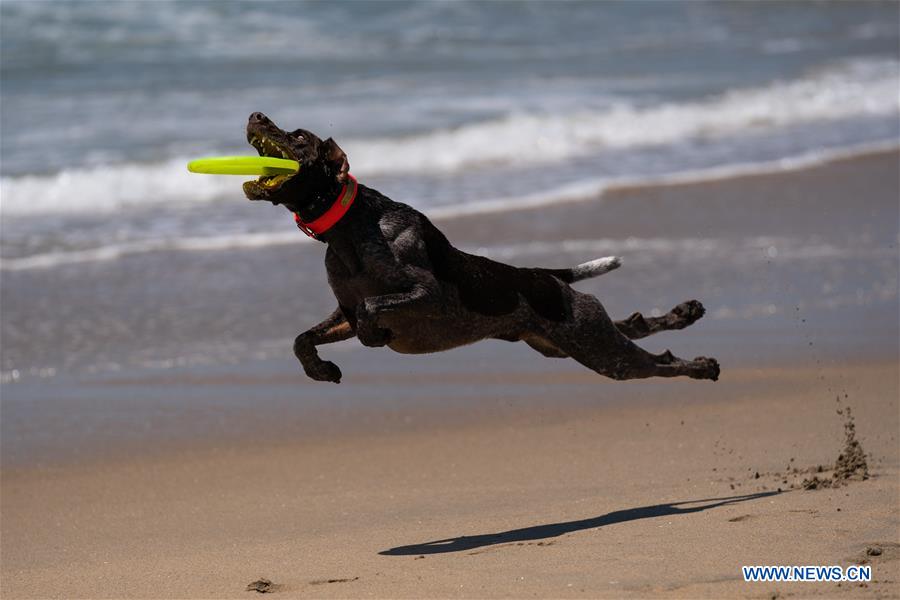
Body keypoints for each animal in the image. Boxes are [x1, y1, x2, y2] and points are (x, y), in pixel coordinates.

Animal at [243, 112, 720, 384]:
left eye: (298, 137)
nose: (254, 114)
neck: (346, 232)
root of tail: (543, 276)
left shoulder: (426, 294)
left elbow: (371, 308)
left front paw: (373, 335)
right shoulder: (340, 312)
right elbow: (303, 339)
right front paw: (320, 369)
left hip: (605, 356)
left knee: (659, 362)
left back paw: (701, 366)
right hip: (573, 340)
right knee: (633, 324)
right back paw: (682, 314)